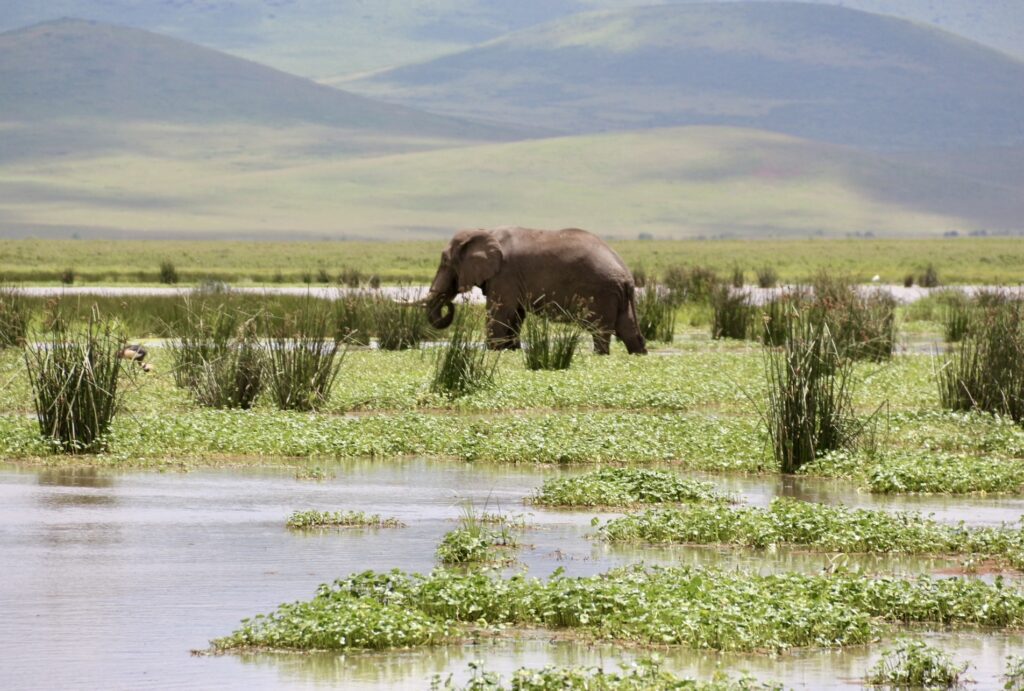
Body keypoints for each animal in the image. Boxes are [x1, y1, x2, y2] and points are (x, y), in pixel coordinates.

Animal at [423, 228, 647, 356]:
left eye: (445, 262)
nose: (449, 303)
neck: (484, 230)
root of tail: (627, 276)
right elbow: (515, 315)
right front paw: (511, 350)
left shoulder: (505, 274)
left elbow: (500, 312)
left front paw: (493, 351)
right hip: (618, 296)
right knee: (628, 330)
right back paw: (639, 352)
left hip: (601, 294)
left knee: (600, 331)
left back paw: (600, 354)